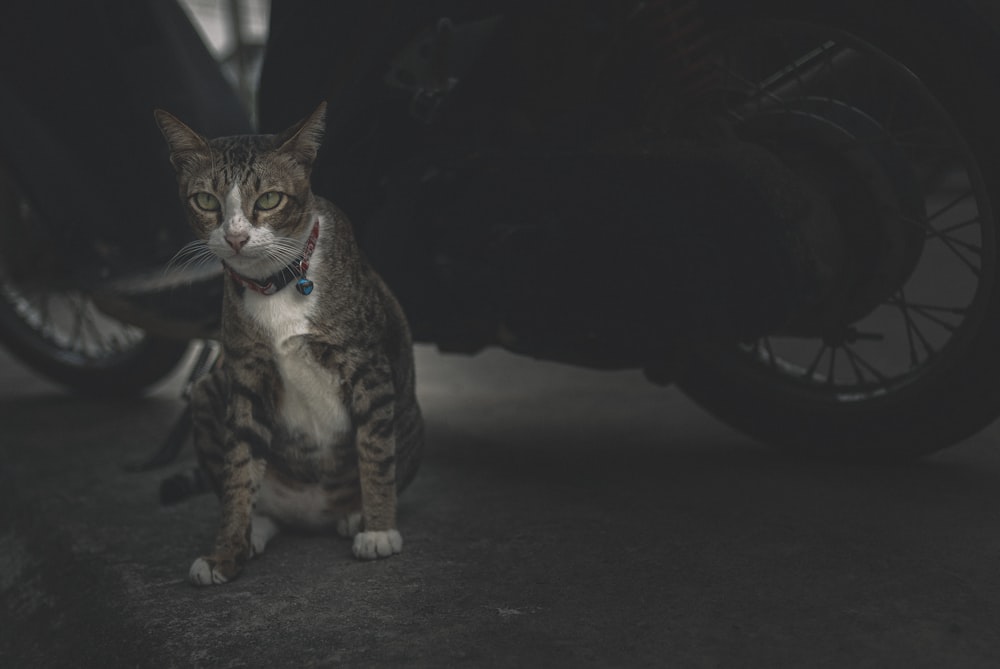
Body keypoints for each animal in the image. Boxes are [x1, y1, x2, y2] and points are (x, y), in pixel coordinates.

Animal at [152, 103, 422, 584]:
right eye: (207, 201)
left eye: (269, 200)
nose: (236, 237)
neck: (274, 284)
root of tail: (310, 516)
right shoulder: (246, 373)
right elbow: (239, 468)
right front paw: (225, 552)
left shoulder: (368, 363)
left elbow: (375, 449)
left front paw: (378, 529)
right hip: (206, 390)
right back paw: (256, 529)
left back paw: (354, 515)